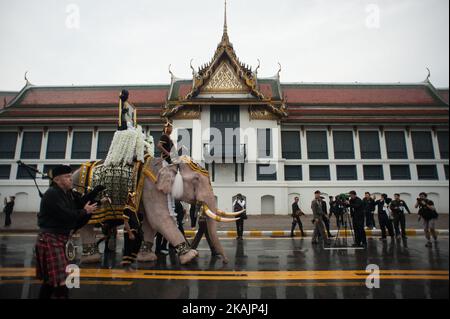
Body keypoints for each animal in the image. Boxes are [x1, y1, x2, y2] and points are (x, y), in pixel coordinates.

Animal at [72, 156, 241, 266]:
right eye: (196, 180)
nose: (225, 261)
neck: (170, 164)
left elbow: (150, 223)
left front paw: (147, 258)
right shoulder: (151, 186)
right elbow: (159, 218)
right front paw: (190, 256)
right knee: (86, 225)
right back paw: (91, 259)